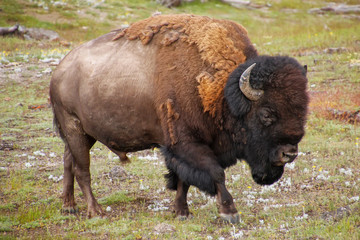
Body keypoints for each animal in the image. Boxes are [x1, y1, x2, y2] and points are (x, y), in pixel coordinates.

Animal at [50, 14, 310, 223]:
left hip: (84, 134)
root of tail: (59, 71)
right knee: (82, 169)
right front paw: (229, 212)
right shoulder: (186, 144)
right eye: (267, 113)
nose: (289, 153)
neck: (221, 92)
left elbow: (184, 180)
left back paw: (69, 207)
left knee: (68, 161)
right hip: (74, 128)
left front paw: (181, 211)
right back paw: (95, 211)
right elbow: (216, 173)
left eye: (303, 111)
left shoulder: (186, 149)